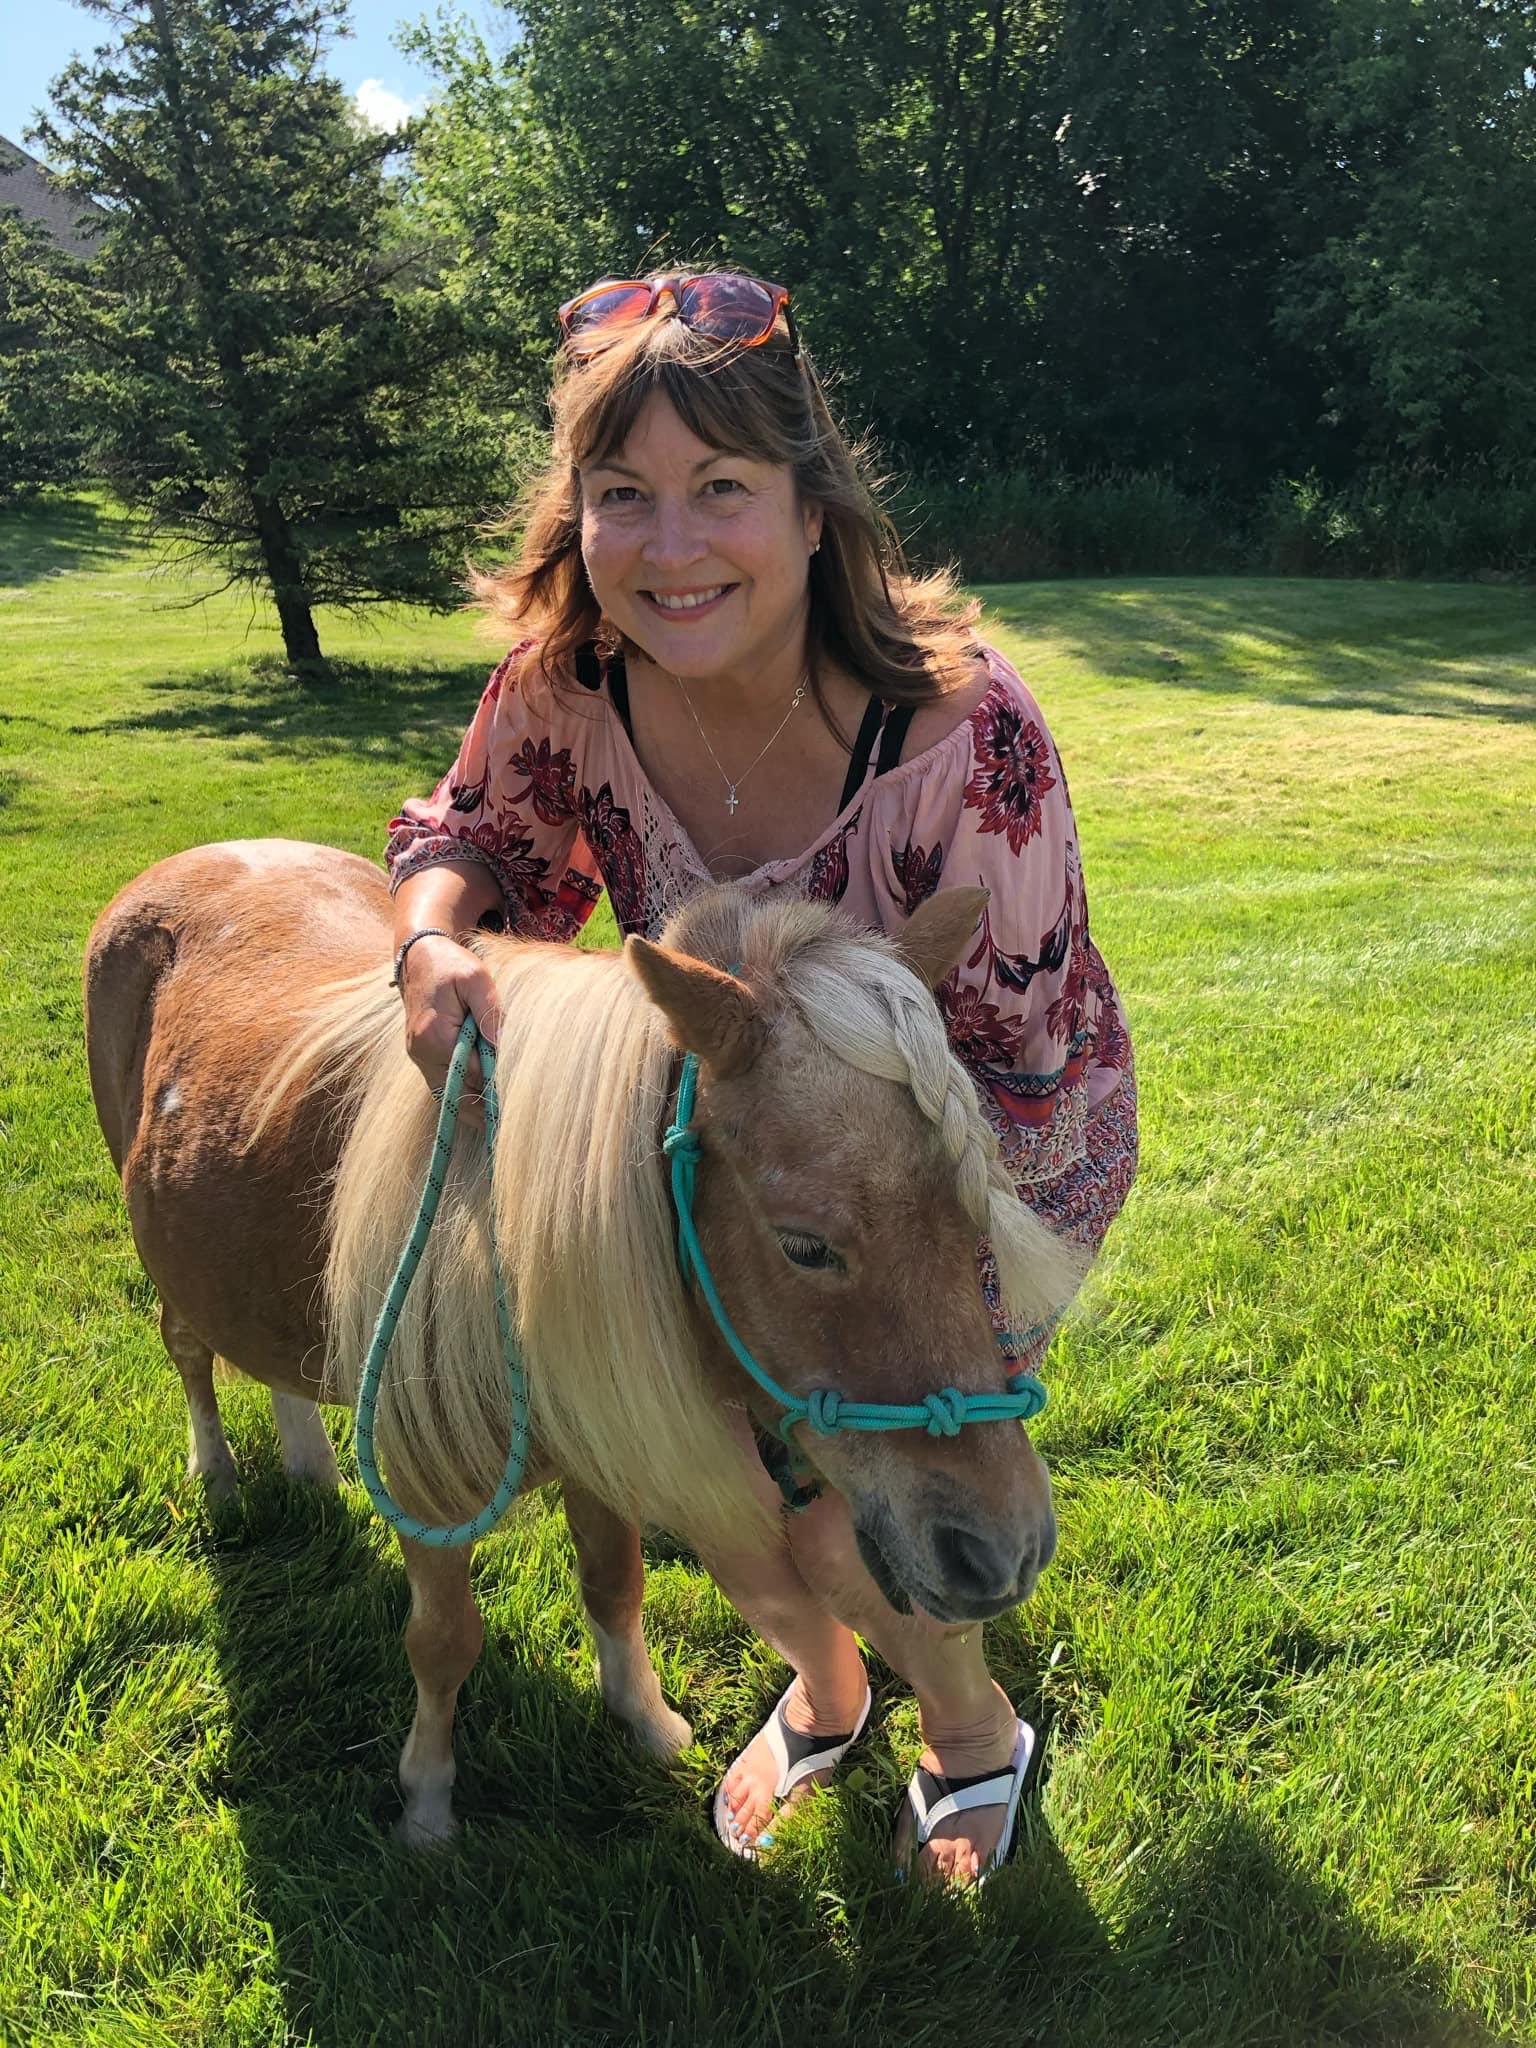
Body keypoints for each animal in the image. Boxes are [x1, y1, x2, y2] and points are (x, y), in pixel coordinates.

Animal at [83, 838, 1082, 1847]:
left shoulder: (598, 1448)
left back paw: (309, 1462)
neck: (497, 1257)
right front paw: (428, 1802)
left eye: (975, 1206)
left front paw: (646, 1721)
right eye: (806, 1246)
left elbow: (613, 1585)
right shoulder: (422, 1487)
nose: (1007, 1550)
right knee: (188, 1349)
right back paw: (217, 1472)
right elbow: (443, 1641)